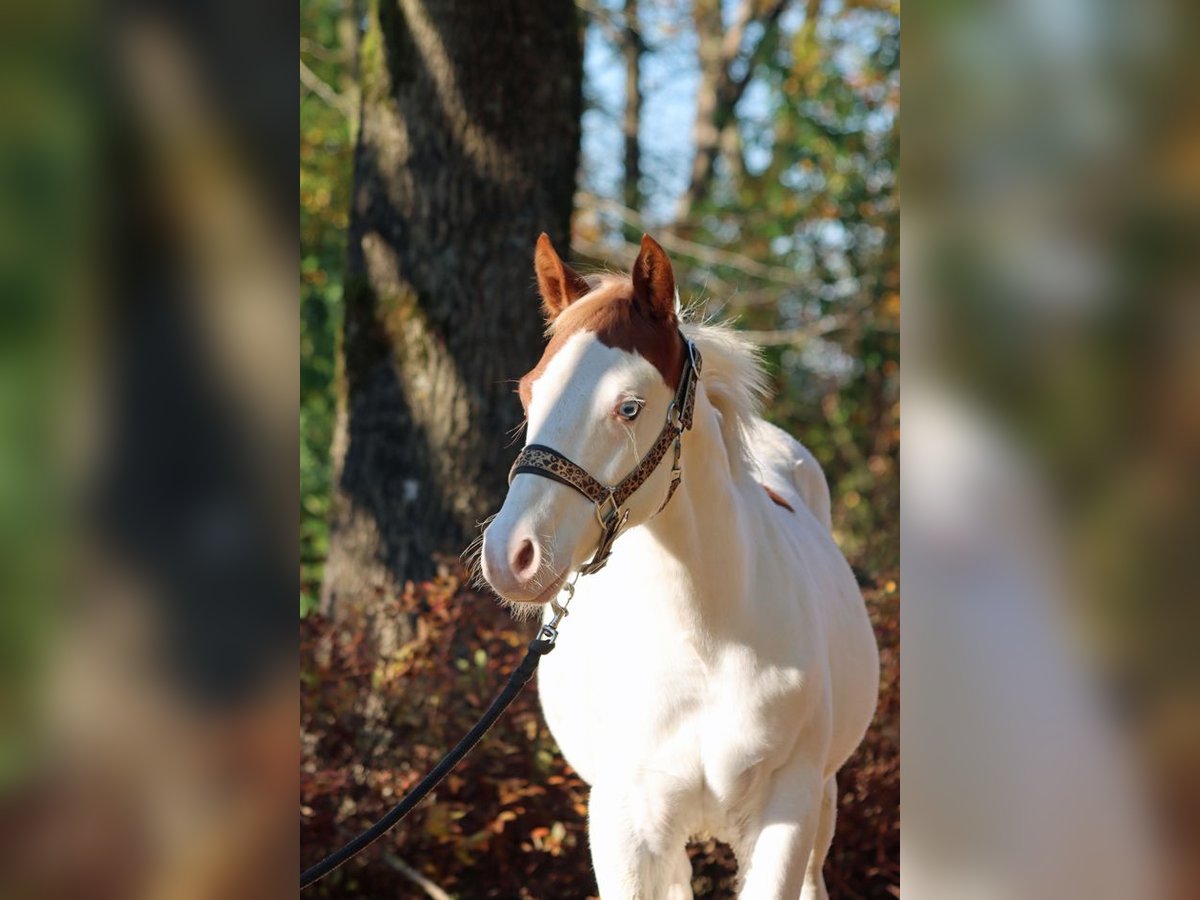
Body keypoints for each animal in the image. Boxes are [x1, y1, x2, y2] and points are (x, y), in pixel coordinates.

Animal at [480, 236, 883, 897]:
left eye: (629, 407)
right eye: (529, 393)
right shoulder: (624, 823)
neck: (705, 644)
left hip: (822, 799)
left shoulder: (787, 811)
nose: (511, 554)